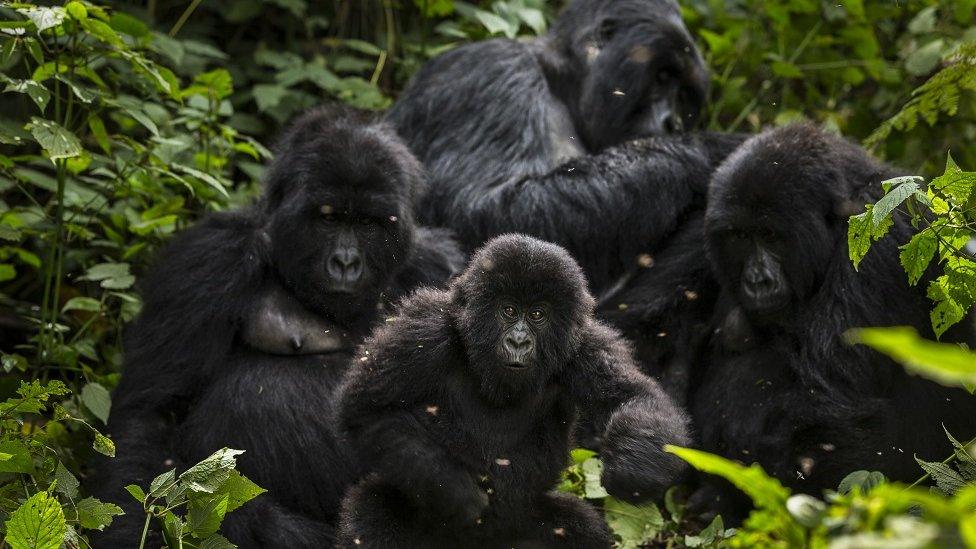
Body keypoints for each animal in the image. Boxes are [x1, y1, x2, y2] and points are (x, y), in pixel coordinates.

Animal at [90, 105, 466, 544]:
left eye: (369, 223)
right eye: (328, 218)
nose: (345, 263)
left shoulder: (440, 265)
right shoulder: (210, 257)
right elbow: (154, 411)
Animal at [336, 233, 692, 544]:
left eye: (537, 314)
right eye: (508, 310)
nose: (518, 342)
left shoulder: (584, 344)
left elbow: (631, 397)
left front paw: (632, 470)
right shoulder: (425, 329)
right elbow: (366, 409)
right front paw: (454, 491)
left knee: (579, 527)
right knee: (374, 511)